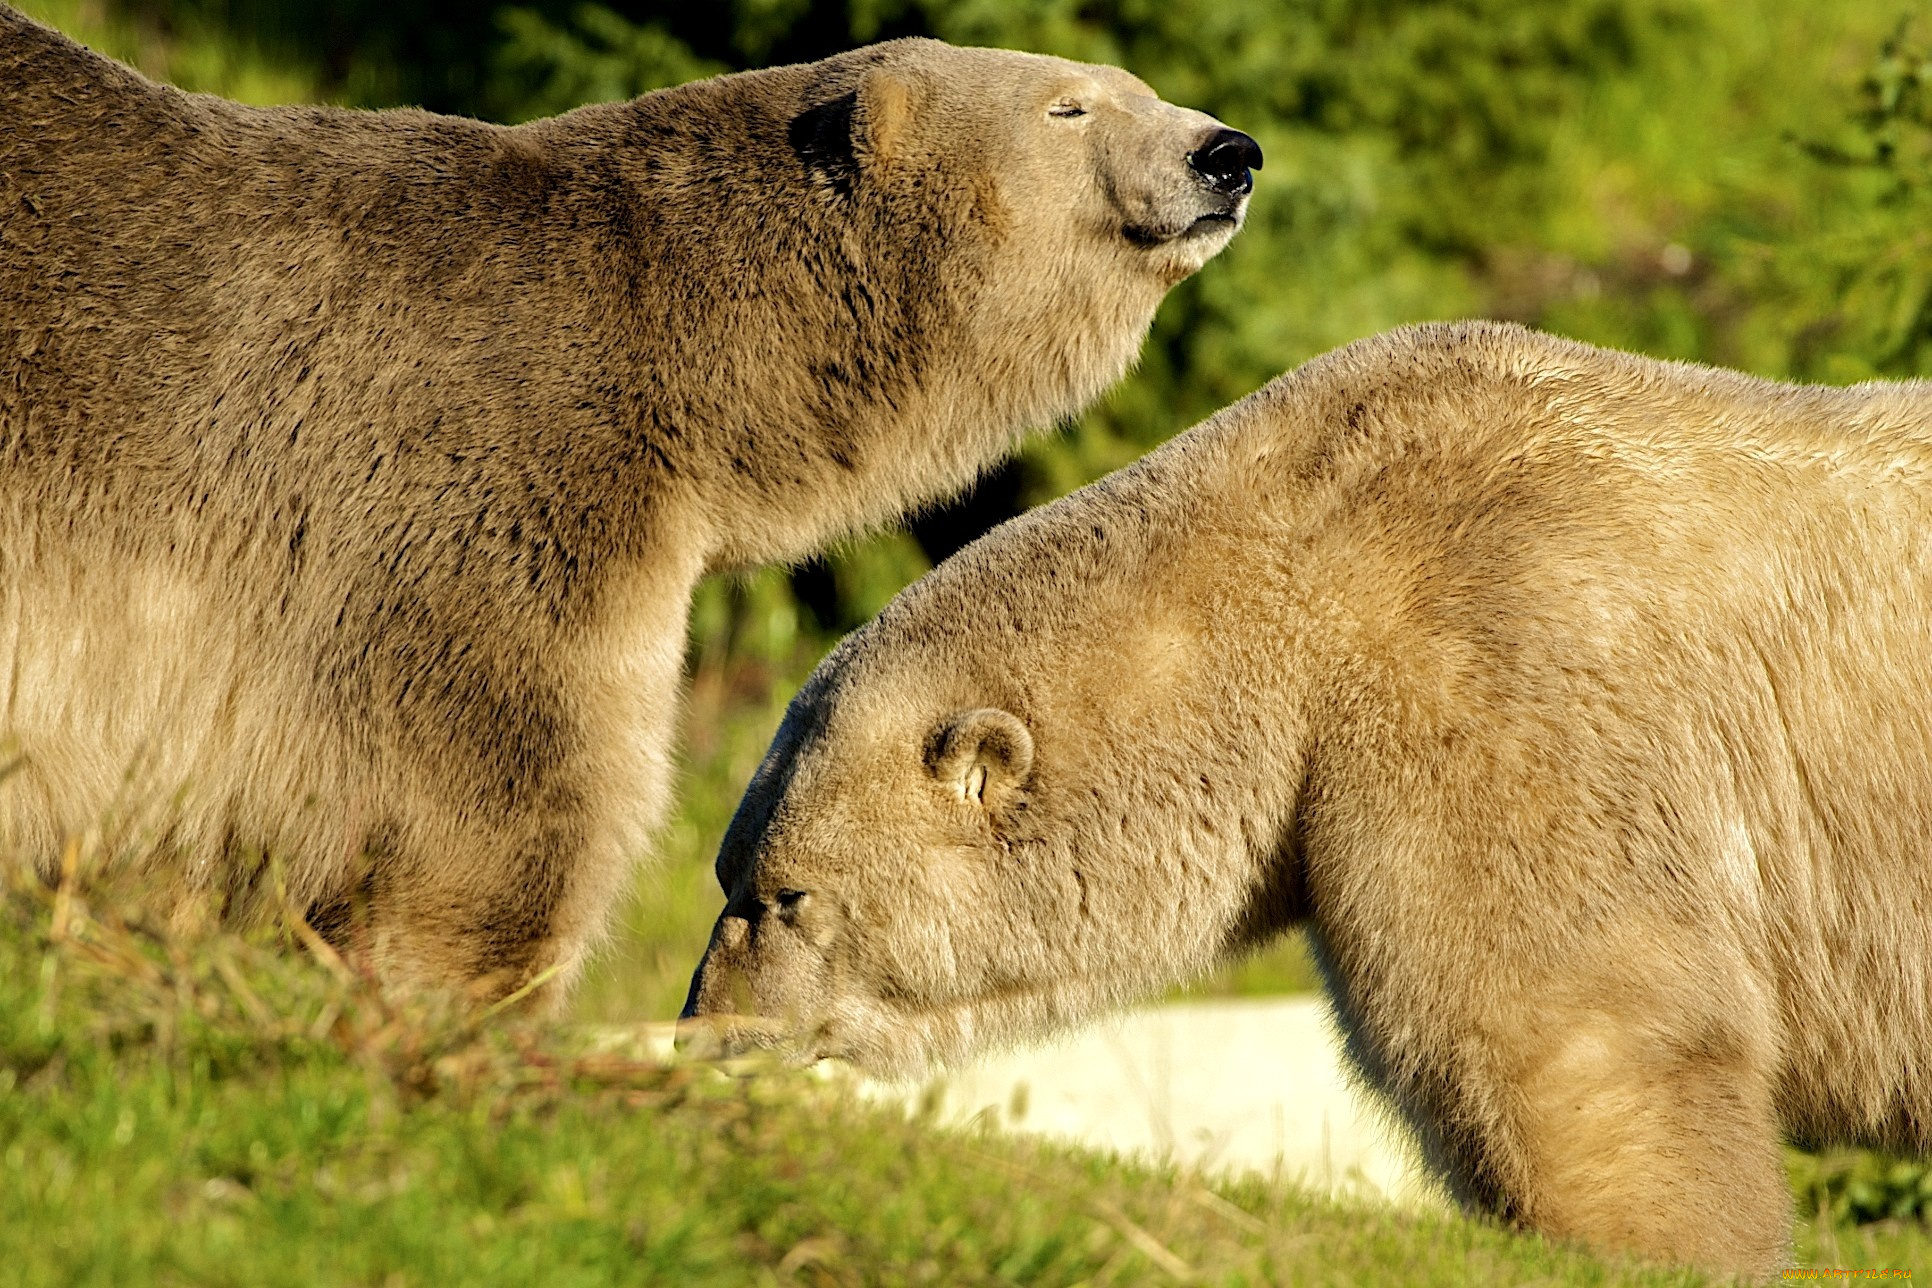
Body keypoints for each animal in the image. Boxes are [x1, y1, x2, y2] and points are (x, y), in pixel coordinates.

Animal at [0, 2, 1267, 996]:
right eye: (1071, 106)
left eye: (1138, 87)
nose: (1230, 153)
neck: (666, 331)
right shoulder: (493, 484)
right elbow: (501, 794)